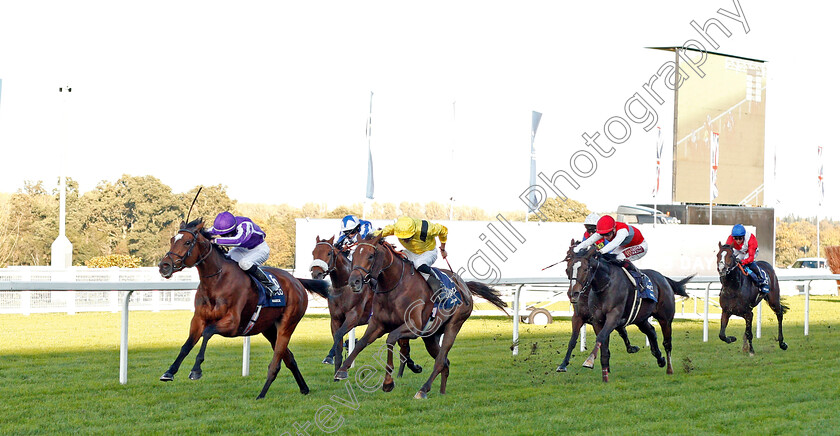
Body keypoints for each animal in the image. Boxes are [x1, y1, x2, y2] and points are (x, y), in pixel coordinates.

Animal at [158, 220, 332, 400]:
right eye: (172, 240)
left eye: (187, 242)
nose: (164, 266)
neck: (217, 281)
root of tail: (296, 280)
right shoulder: (198, 319)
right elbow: (187, 345)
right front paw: (169, 372)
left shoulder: (232, 324)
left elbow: (207, 333)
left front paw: (196, 370)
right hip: (269, 329)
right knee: (289, 358)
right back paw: (304, 388)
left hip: (287, 325)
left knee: (276, 361)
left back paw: (261, 394)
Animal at [308, 237, 420, 376]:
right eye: (313, 252)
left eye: (329, 253)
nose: (316, 273)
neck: (343, 287)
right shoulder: (335, 319)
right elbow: (337, 340)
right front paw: (337, 370)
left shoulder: (354, 316)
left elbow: (339, 335)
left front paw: (329, 358)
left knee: (404, 348)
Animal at [334, 235, 506, 398]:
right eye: (354, 255)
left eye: (370, 256)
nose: (354, 281)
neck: (395, 286)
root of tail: (464, 285)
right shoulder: (377, 324)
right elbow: (361, 343)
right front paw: (341, 370)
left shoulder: (414, 327)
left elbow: (390, 338)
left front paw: (388, 382)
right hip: (431, 336)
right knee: (445, 362)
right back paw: (442, 393)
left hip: (453, 325)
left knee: (440, 361)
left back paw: (423, 390)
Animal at [572, 245, 688, 382]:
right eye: (568, 269)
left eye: (585, 269)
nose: (574, 293)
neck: (605, 285)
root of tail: (664, 278)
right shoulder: (597, 321)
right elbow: (604, 345)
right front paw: (605, 375)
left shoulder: (614, 317)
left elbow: (601, 337)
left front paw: (589, 361)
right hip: (641, 319)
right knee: (651, 332)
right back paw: (660, 359)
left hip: (665, 319)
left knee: (667, 342)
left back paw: (669, 369)